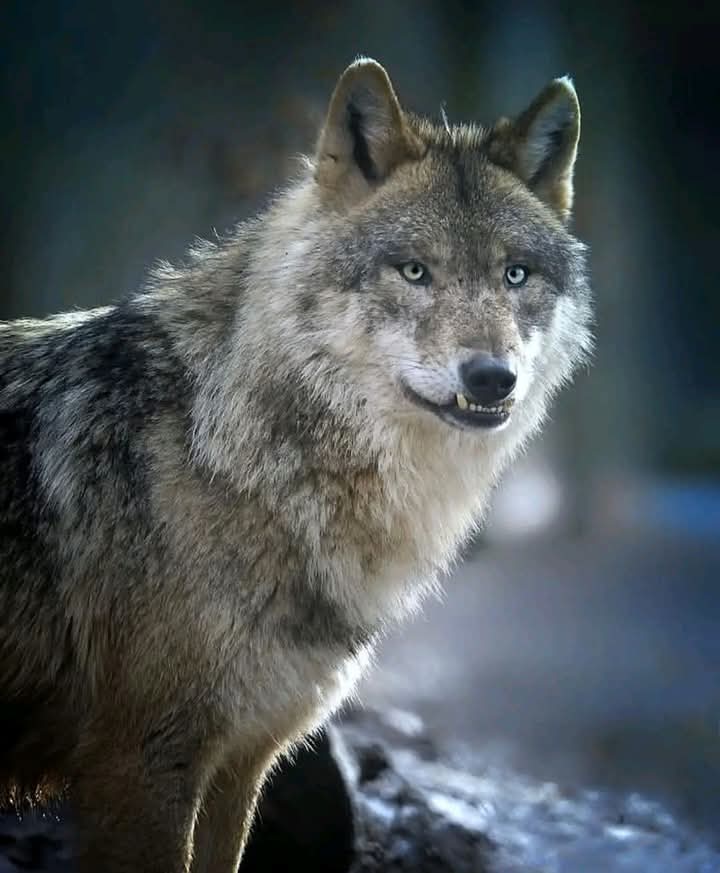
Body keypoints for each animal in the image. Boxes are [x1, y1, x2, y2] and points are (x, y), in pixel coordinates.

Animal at [0, 58, 592, 871]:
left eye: (516, 275)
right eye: (415, 272)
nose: (491, 378)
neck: (227, 451)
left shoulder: (239, 763)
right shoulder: (140, 762)